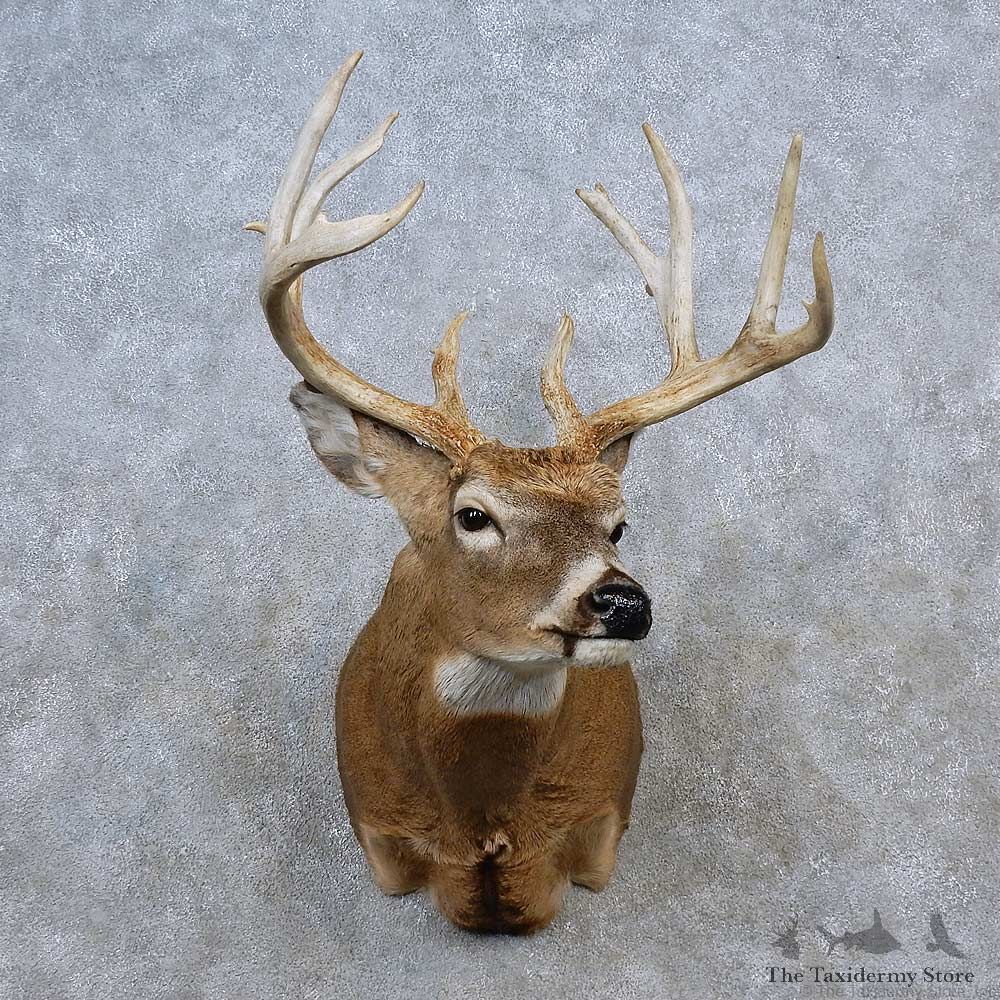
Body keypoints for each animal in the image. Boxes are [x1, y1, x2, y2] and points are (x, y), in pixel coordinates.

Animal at [247, 51, 834, 934]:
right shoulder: (377, 832)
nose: (623, 602)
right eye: (473, 514)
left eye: (618, 524)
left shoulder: (600, 827)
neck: (488, 826)